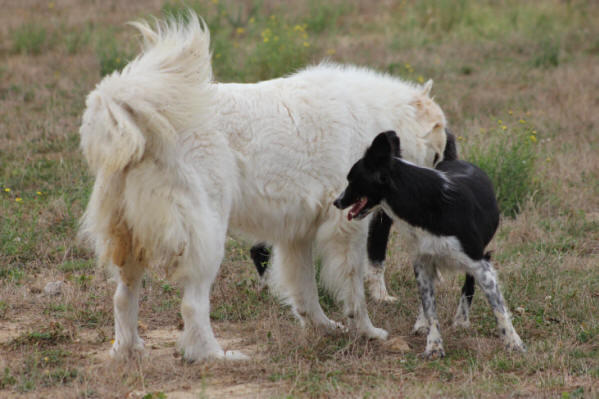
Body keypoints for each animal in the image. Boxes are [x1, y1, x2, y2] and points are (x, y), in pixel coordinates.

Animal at [332, 131, 524, 360]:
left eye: (352, 180)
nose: (336, 202)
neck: (427, 203)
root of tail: (454, 160)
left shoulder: (480, 263)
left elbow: (498, 307)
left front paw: (513, 342)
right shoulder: (422, 263)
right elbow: (430, 309)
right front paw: (433, 345)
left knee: (469, 284)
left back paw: (462, 319)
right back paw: (422, 322)